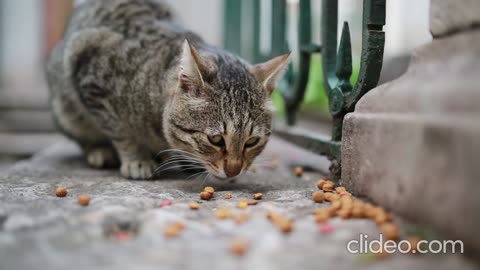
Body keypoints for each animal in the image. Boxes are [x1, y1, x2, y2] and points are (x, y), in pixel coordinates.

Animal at [46, 1, 288, 180]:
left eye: (252, 142)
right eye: (216, 140)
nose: (233, 171)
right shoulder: (89, 69)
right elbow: (120, 131)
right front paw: (137, 158)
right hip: (65, 109)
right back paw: (100, 151)